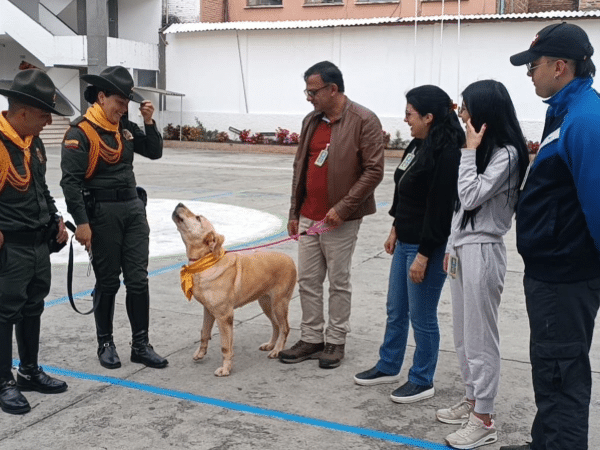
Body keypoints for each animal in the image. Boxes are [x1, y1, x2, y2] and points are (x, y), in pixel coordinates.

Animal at [172, 204, 296, 376]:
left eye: (198, 218)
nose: (179, 204)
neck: (205, 261)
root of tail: (290, 259)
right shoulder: (208, 310)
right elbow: (204, 333)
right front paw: (200, 353)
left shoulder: (224, 316)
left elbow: (225, 346)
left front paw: (225, 369)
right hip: (266, 303)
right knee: (276, 325)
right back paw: (271, 345)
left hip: (279, 303)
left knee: (285, 327)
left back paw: (277, 350)